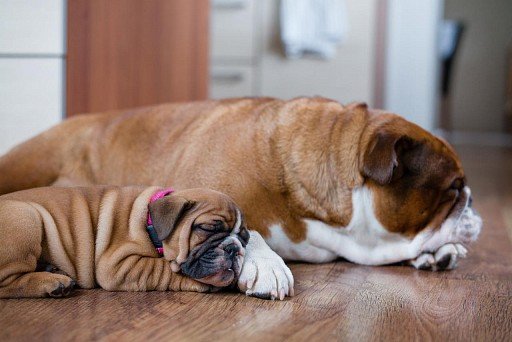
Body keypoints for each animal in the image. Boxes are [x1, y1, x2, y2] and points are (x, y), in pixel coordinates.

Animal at [0, 186, 250, 298]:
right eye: (207, 229)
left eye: (245, 239)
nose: (234, 248)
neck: (150, 221)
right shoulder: (117, 265)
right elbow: (162, 269)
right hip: (27, 217)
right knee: (7, 282)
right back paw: (53, 283)